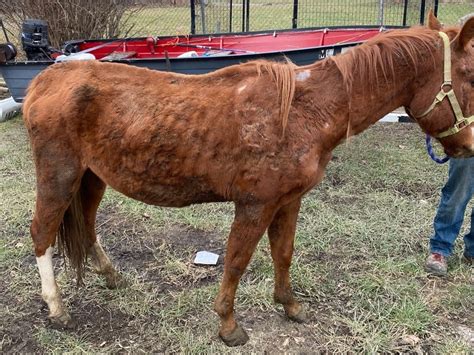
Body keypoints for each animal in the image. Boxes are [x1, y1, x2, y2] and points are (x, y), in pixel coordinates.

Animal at [24, 15, 474, 346]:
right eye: (470, 76)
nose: (469, 147)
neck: (305, 110)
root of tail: (45, 81)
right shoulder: (256, 205)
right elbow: (237, 261)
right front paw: (228, 326)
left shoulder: (289, 201)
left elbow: (283, 253)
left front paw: (290, 305)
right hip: (60, 175)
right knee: (42, 233)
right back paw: (57, 308)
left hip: (91, 178)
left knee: (86, 227)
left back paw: (110, 275)